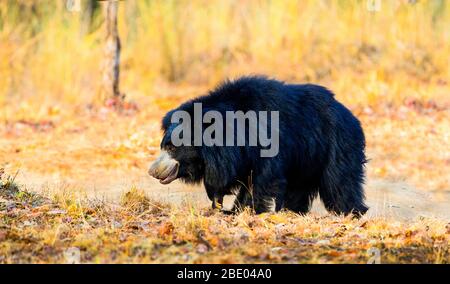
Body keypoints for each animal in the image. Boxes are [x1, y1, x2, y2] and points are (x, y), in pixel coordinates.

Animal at [149, 76, 368, 216]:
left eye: (172, 148)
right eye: (164, 146)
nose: (152, 171)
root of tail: (350, 115)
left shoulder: (267, 142)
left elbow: (262, 177)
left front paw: (239, 211)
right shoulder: (229, 158)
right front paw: (220, 207)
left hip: (337, 145)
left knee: (340, 182)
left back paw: (351, 212)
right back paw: (292, 211)